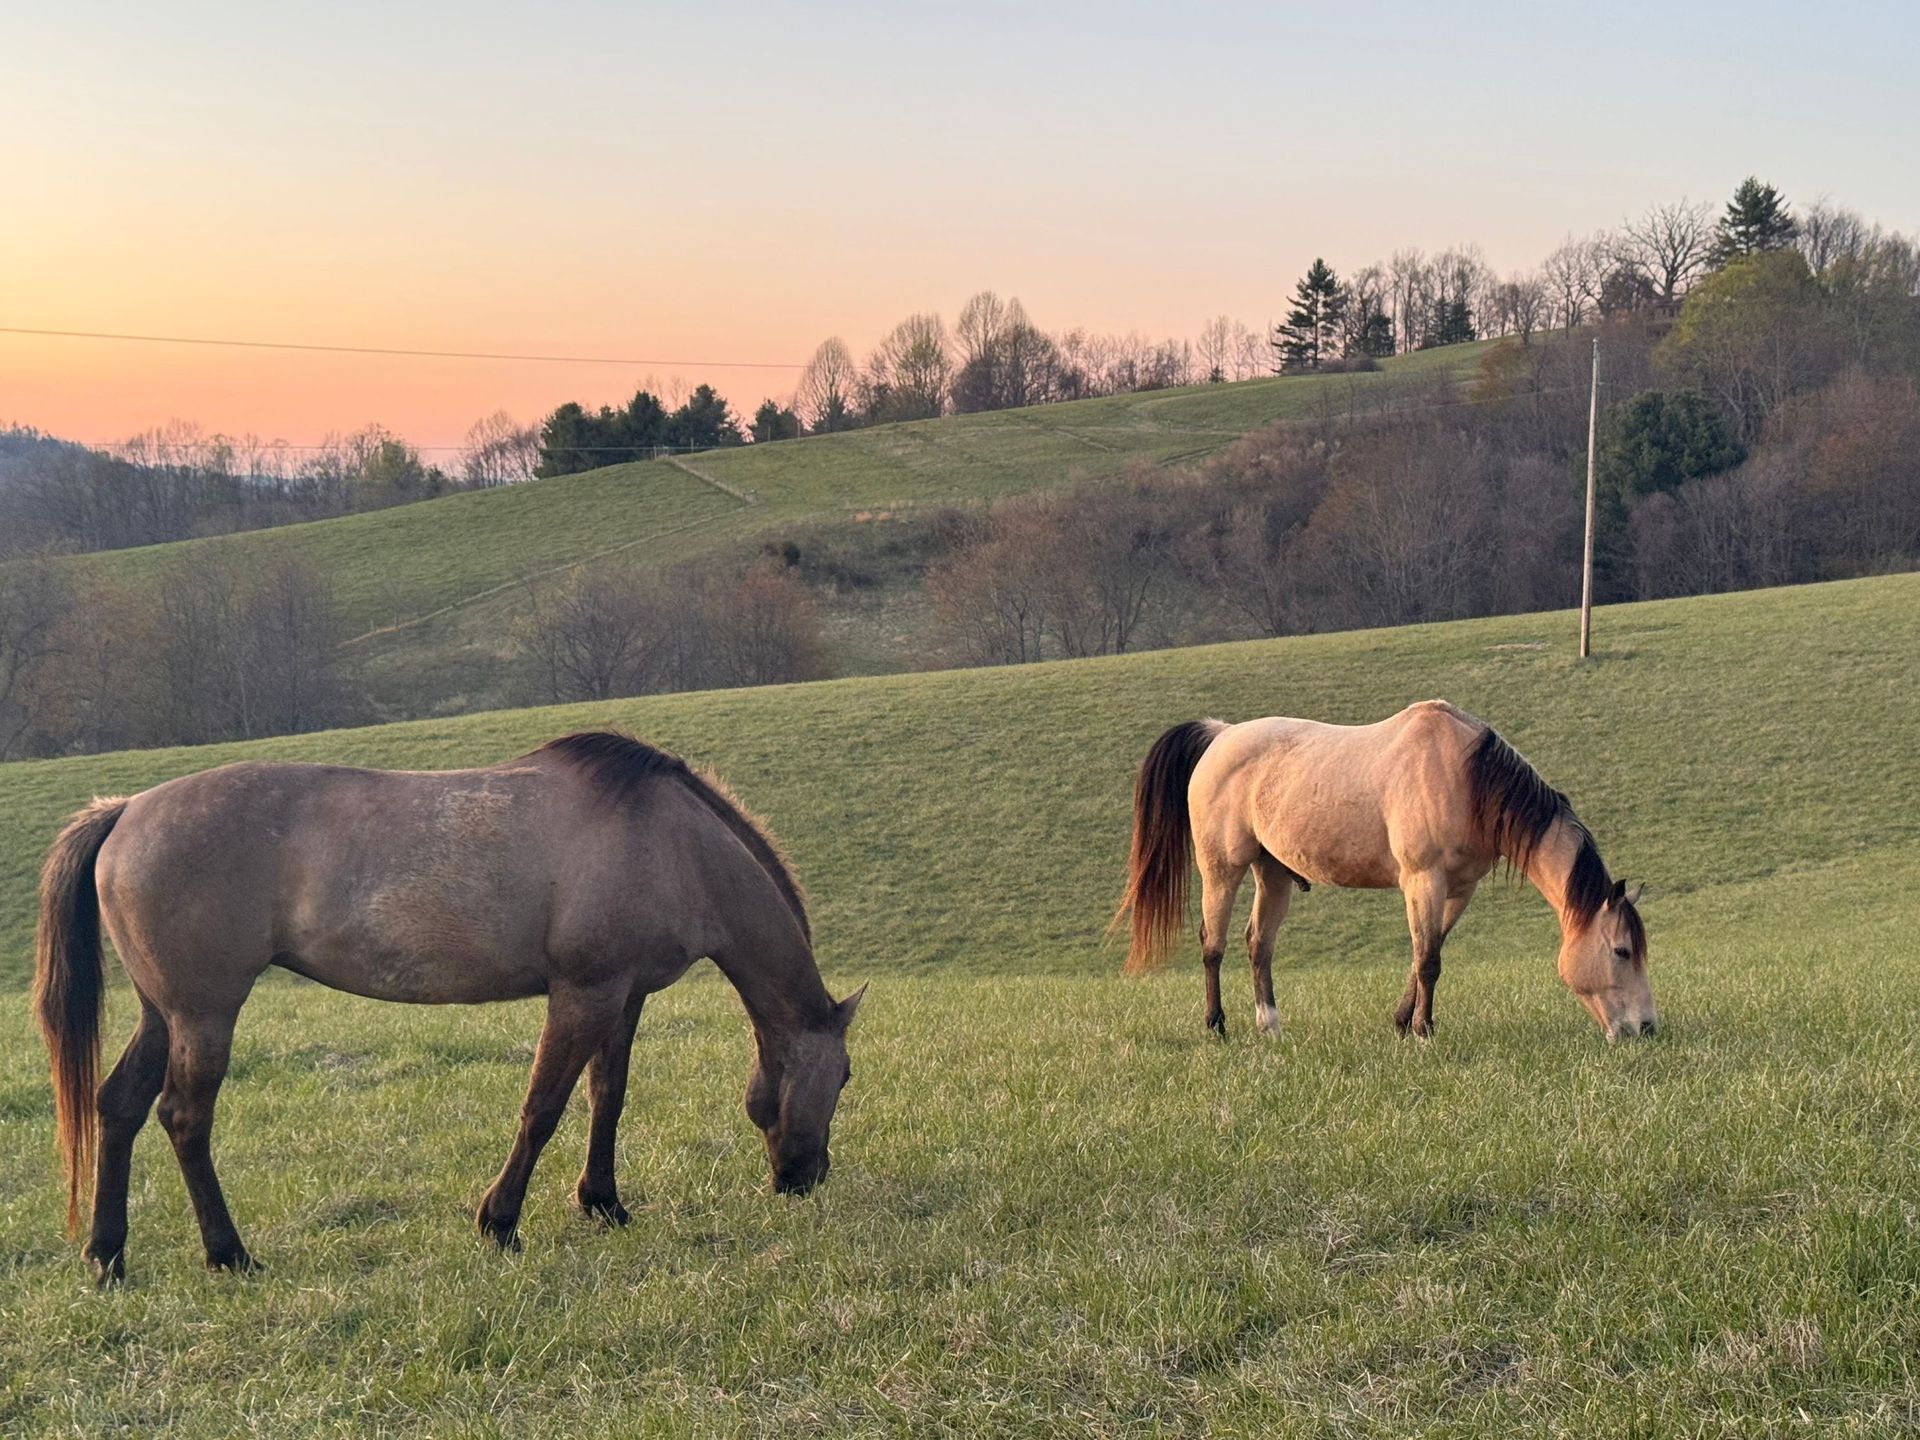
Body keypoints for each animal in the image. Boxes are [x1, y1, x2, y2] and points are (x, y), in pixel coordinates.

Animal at [32, 730, 864, 1283]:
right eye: (847, 1078)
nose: (808, 1177)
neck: (672, 844)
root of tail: (126, 809)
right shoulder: (582, 993)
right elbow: (543, 1108)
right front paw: (500, 1223)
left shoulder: (622, 995)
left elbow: (608, 1097)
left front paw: (603, 1203)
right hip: (204, 1015)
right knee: (184, 1118)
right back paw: (229, 1254)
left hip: (161, 1013)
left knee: (119, 1105)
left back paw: (107, 1254)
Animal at [1114, 700, 1653, 1041]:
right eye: (1622, 951)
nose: (1646, 1028)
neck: (1466, 778)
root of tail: (1221, 733)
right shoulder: (1423, 880)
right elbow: (1429, 961)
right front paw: (1423, 1032)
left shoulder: (1458, 890)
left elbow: (1425, 955)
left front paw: (1402, 1023)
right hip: (1222, 868)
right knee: (1213, 944)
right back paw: (1217, 1026)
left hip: (1274, 873)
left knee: (1258, 944)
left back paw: (1271, 1026)